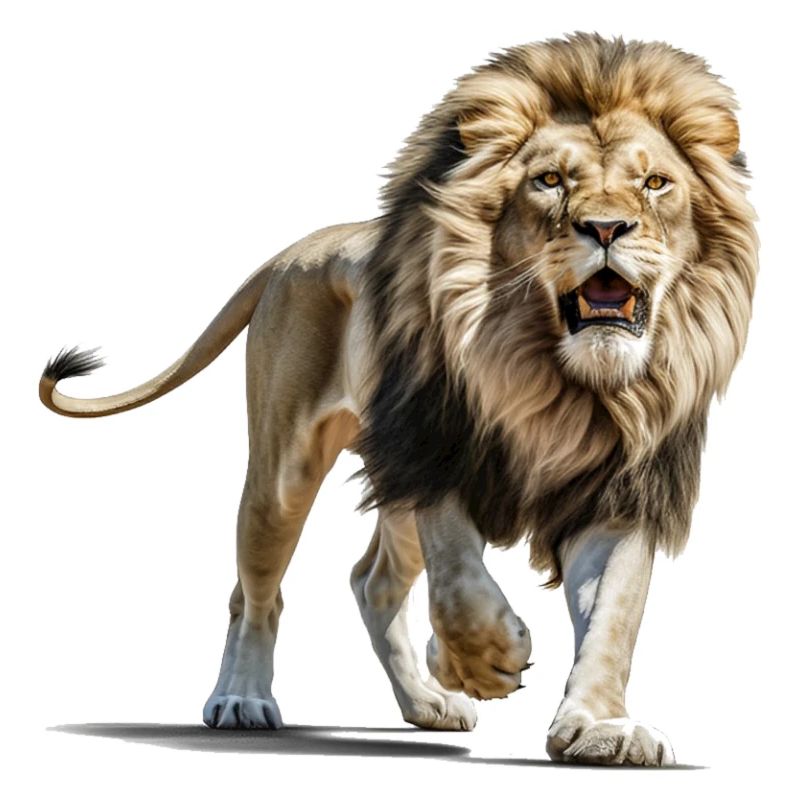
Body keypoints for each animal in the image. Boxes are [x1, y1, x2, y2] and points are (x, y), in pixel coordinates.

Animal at [39, 33, 757, 766]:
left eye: (655, 183)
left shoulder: (625, 490)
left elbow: (614, 616)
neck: (556, 378)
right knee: (255, 592)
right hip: (282, 476)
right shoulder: (430, 448)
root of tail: (302, 247)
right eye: (551, 181)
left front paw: (600, 726)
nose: (607, 228)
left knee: (373, 581)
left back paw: (424, 702)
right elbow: (461, 579)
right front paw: (484, 658)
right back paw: (242, 699)